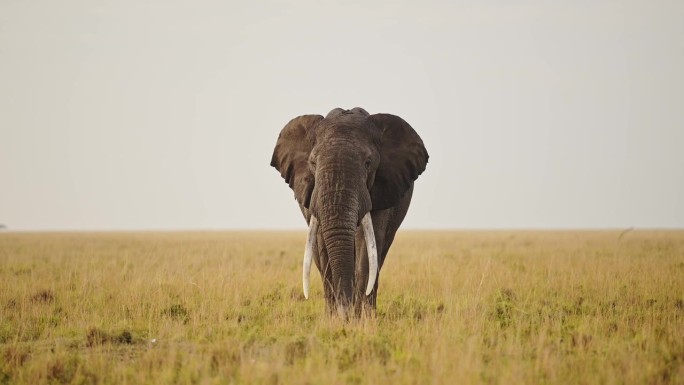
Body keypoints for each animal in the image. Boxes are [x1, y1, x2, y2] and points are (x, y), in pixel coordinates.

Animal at [268, 106, 424, 316]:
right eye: (313, 163)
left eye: (368, 163)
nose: (346, 310)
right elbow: (322, 246)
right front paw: (335, 318)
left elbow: (367, 247)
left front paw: (361, 319)